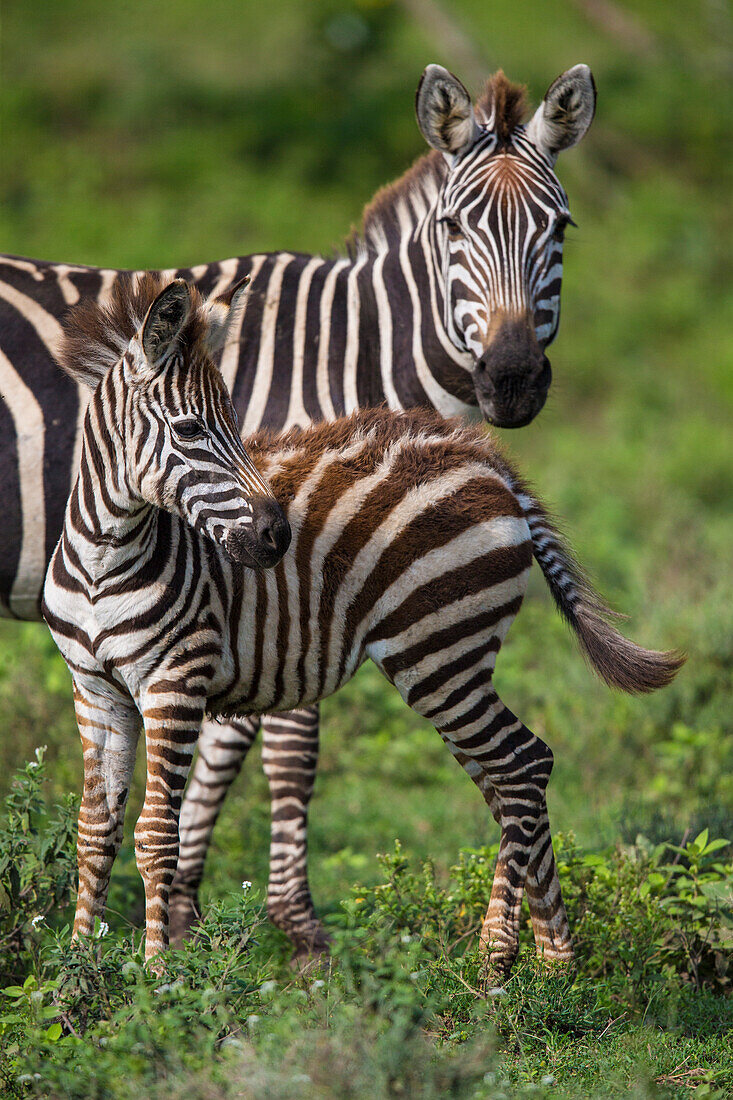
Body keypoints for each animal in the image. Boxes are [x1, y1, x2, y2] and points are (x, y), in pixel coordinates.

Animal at [0, 62, 594, 954]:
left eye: (557, 227)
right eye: (452, 228)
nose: (514, 379)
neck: (351, 350)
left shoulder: (266, 589)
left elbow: (219, 753)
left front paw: (184, 915)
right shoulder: (286, 574)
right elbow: (287, 750)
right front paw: (292, 929)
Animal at [41, 275, 677, 972]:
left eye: (234, 423)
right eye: (188, 429)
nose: (276, 536)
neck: (105, 559)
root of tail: (487, 458)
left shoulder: (173, 682)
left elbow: (156, 834)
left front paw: (156, 977)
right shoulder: (94, 689)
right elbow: (94, 832)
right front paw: (78, 973)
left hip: (436, 653)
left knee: (521, 766)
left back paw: (521, 964)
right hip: (456, 662)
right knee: (508, 780)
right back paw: (528, 959)